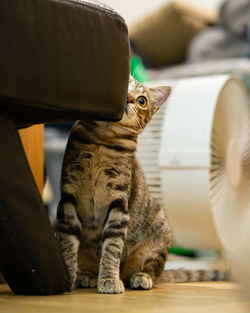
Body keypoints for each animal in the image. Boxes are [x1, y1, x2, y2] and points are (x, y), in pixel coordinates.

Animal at [56, 76, 229, 292]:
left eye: (141, 101)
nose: (130, 98)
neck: (102, 141)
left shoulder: (119, 203)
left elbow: (112, 248)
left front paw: (109, 279)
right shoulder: (67, 197)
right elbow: (67, 245)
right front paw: (69, 278)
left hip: (160, 232)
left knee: (152, 270)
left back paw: (140, 277)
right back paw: (86, 276)